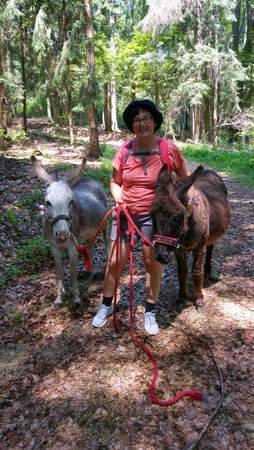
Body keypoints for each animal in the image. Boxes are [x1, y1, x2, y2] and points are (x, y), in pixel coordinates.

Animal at [151, 165, 230, 310]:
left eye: (178, 218)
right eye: (152, 215)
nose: (160, 256)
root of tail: (209, 171)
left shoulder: (199, 248)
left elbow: (196, 272)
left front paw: (199, 299)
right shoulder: (179, 250)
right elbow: (182, 272)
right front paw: (182, 297)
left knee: (210, 248)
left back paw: (208, 270)